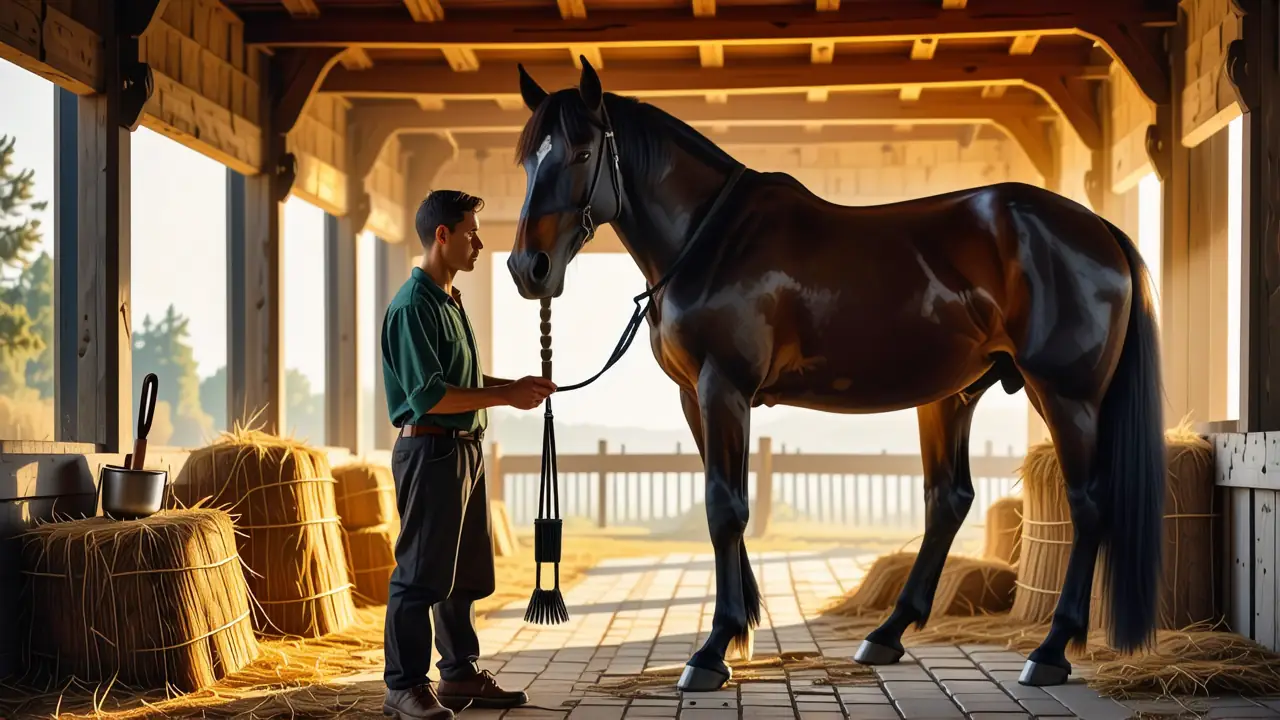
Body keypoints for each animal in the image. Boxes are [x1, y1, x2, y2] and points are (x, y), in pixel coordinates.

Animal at [505, 58, 1166, 693]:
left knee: (1087, 502)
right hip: (953, 395)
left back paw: (1050, 651)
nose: (528, 268)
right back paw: (886, 635)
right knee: (948, 500)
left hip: (1066, 394)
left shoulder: (725, 387)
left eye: (583, 153)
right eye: (529, 159)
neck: (711, 240)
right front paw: (741, 628)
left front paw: (712, 651)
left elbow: (725, 508)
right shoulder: (696, 396)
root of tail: (1099, 230)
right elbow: (723, 500)